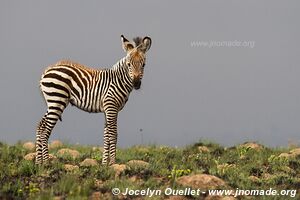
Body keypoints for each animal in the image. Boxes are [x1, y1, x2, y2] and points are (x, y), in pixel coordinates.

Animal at [35, 35, 152, 165]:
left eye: (144, 65)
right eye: (129, 65)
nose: (136, 84)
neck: (118, 80)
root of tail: (47, 70)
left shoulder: (108, 109)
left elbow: (106, 135)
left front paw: (104, 163)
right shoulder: (111, 106)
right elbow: (113, 134)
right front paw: (112, 163)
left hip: (53, 102)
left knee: (40, 126)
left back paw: (38, 162)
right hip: (57, 100)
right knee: (45, 130)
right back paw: (46, 163)